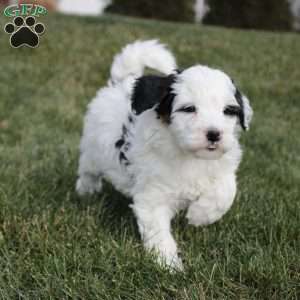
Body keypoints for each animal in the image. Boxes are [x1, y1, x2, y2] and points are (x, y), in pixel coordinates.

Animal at [76, 39, 252, 270]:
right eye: (189, 109)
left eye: (229, 111)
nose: (214, 134)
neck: (189, 155)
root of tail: (121, 82)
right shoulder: (153, 196)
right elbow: (158, 232)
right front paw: (169, 264)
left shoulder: (221, 167)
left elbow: (226, 191)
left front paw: (199, 215)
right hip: (94, 148)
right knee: (88, 169)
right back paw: (87, 191)